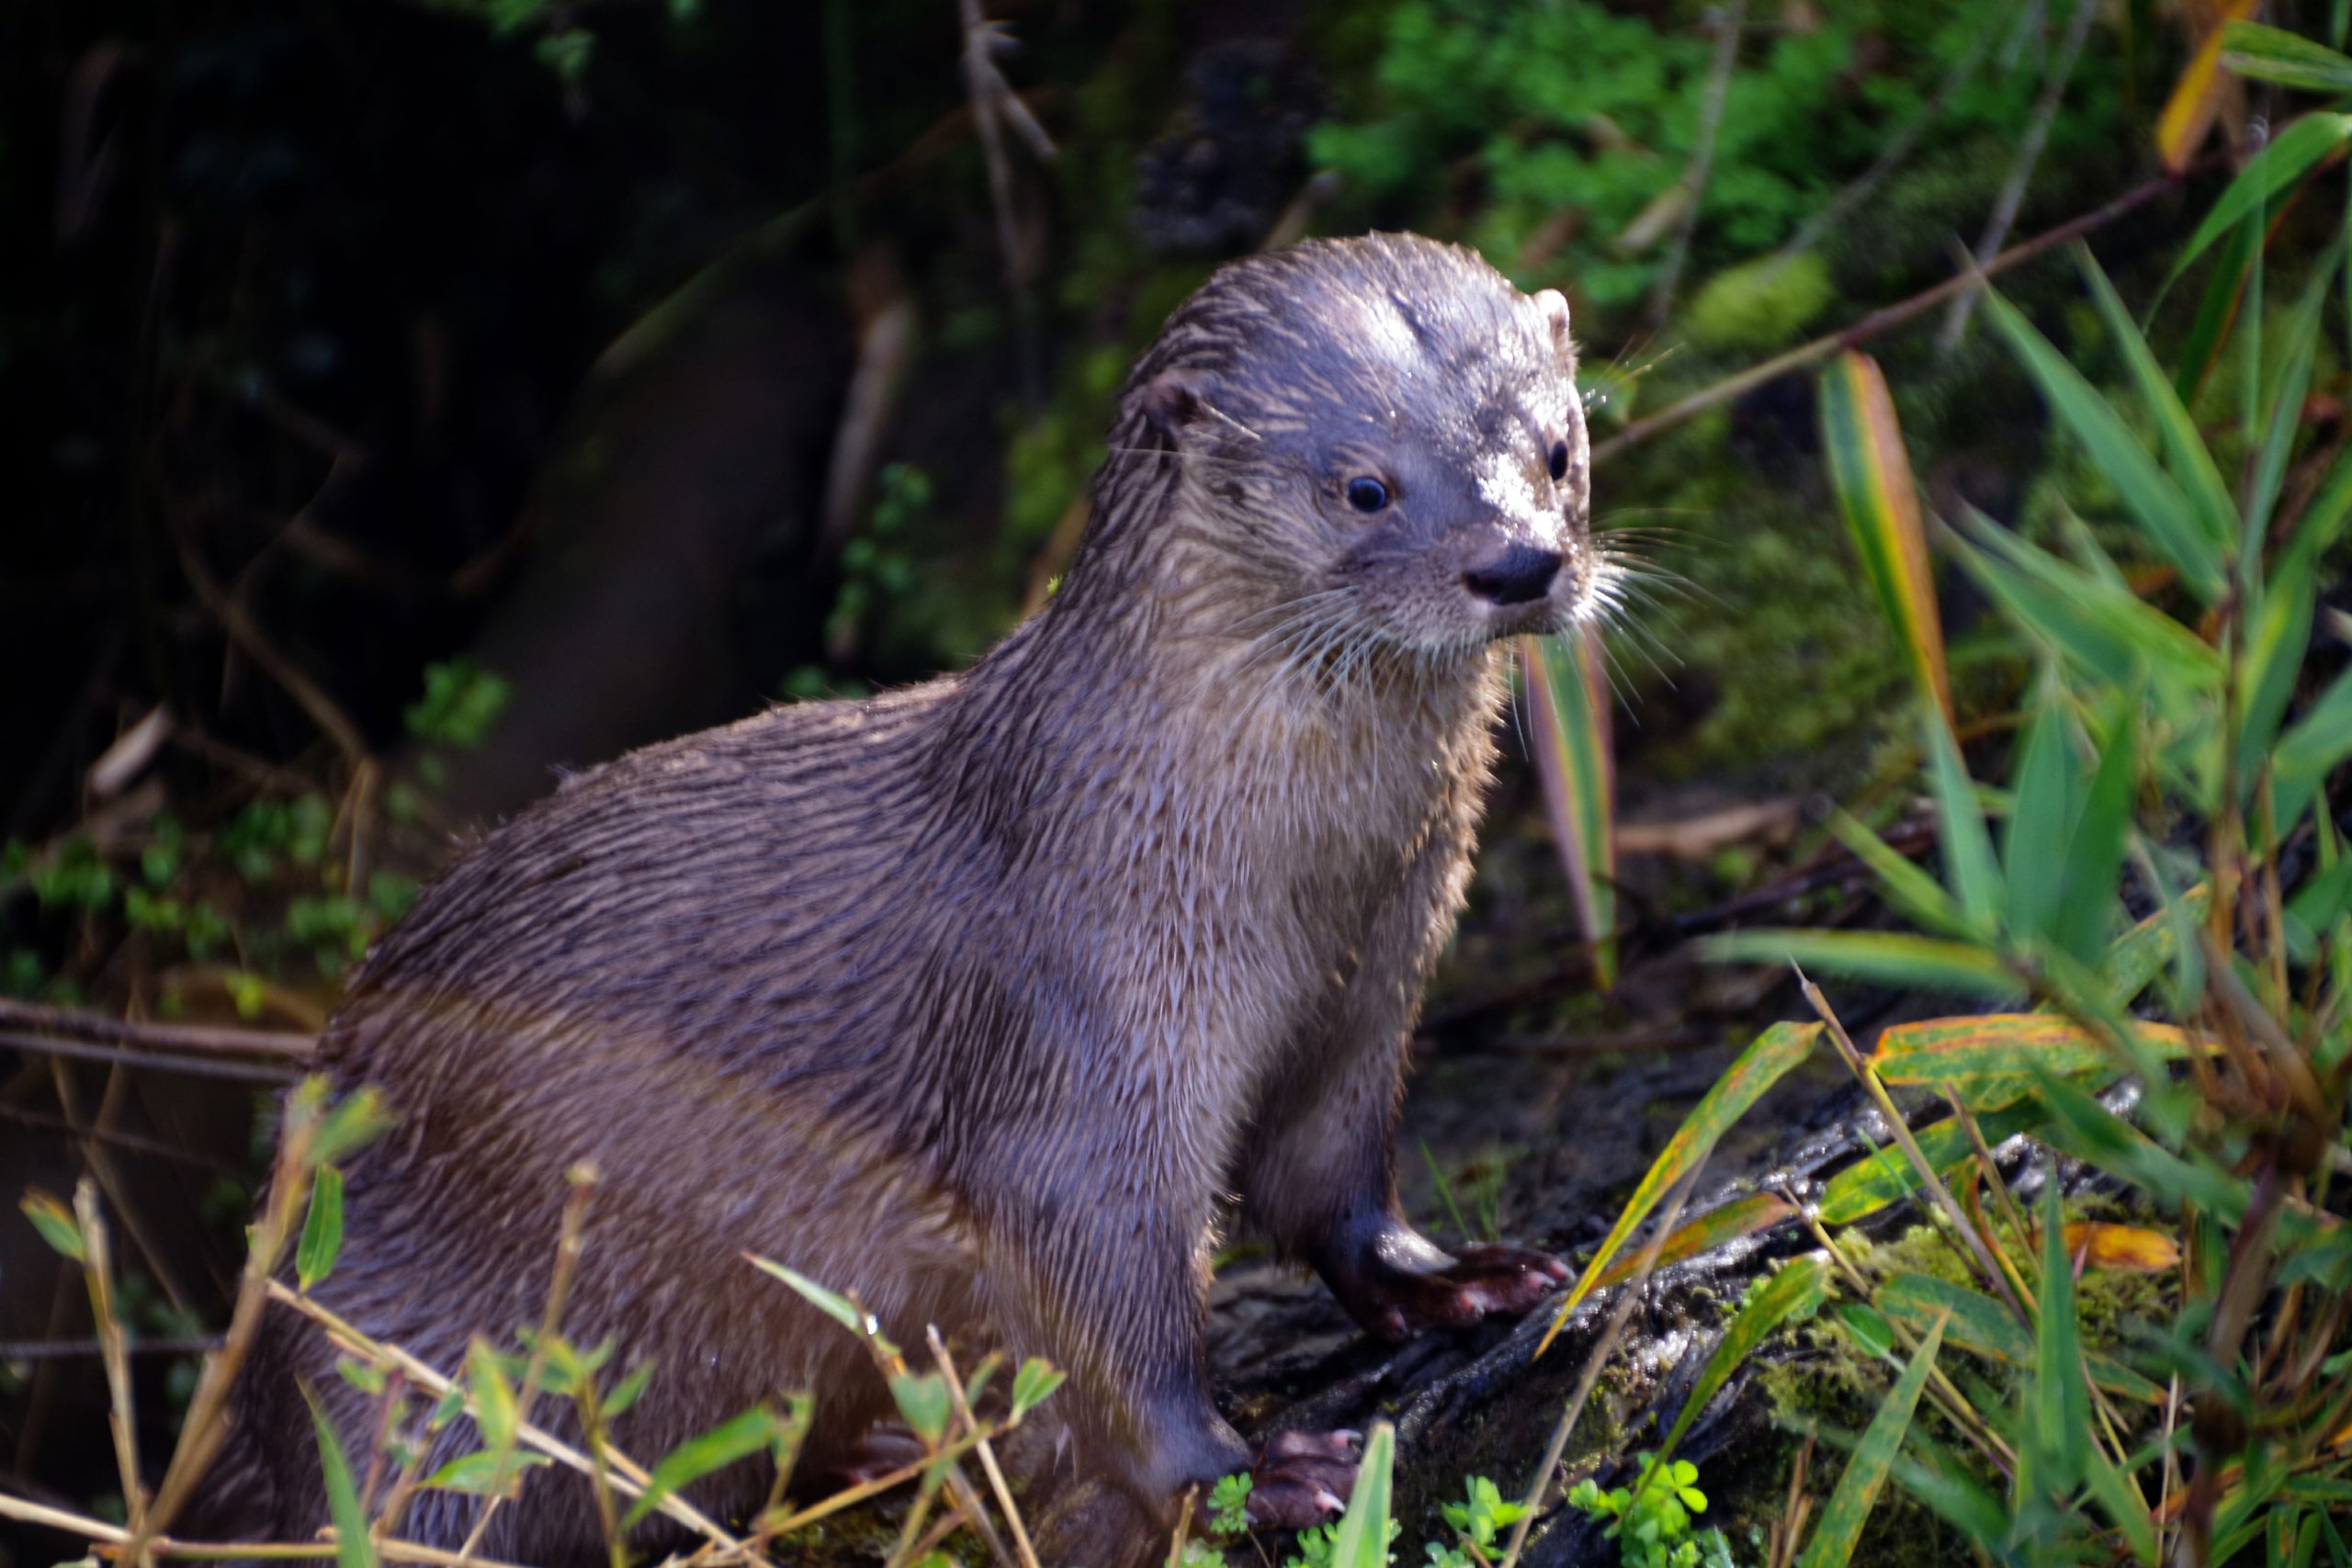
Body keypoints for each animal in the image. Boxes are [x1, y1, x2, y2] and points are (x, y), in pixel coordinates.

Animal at [207, 230, 1599, 1561]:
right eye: (1361, 484)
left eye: (1558, 446)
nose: (1519, 562)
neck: (1289, 878)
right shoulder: (1077, 1029)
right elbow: (1101, 1296)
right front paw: (1243, 1475)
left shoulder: (1373, 988)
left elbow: (1334, 1178)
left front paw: (1452, 1276)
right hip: (387, 1362)